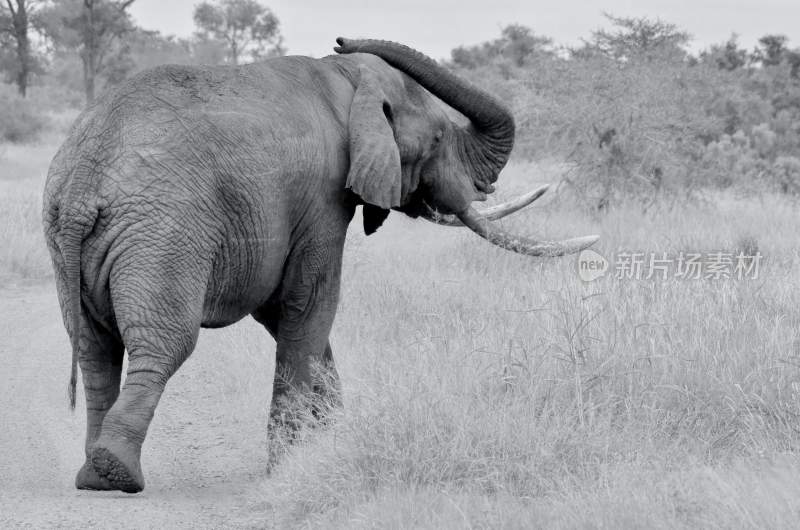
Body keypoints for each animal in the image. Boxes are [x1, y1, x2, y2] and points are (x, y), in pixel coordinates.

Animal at [40, 36, 596, 490]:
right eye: (438, 138)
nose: (343, 38)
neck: (347, 79)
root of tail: (84, 182)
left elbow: (288, 315)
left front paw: (332, 442)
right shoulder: (323, 197)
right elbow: (309, 303)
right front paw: (288, 468)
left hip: (74, 241)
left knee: (94, 349)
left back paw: (92, 474)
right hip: (163, 234)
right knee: (162, 345)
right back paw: (117, 474)